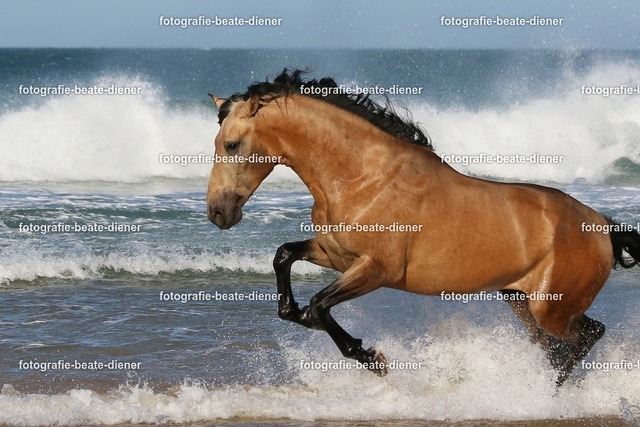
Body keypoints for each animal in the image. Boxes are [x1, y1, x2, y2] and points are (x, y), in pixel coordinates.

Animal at [206, 68, 640, 386]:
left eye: (231, 145)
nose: (217, 213)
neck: (362, 177)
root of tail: (604, 227)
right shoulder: (336, 254)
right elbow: (284, 257)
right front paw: (292, 311)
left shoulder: (376, 270)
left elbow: (318, 306)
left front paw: (372, 358)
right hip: (523, 303)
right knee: (560, 345)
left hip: (550, 308)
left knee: (587, 335)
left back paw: (548, 392)